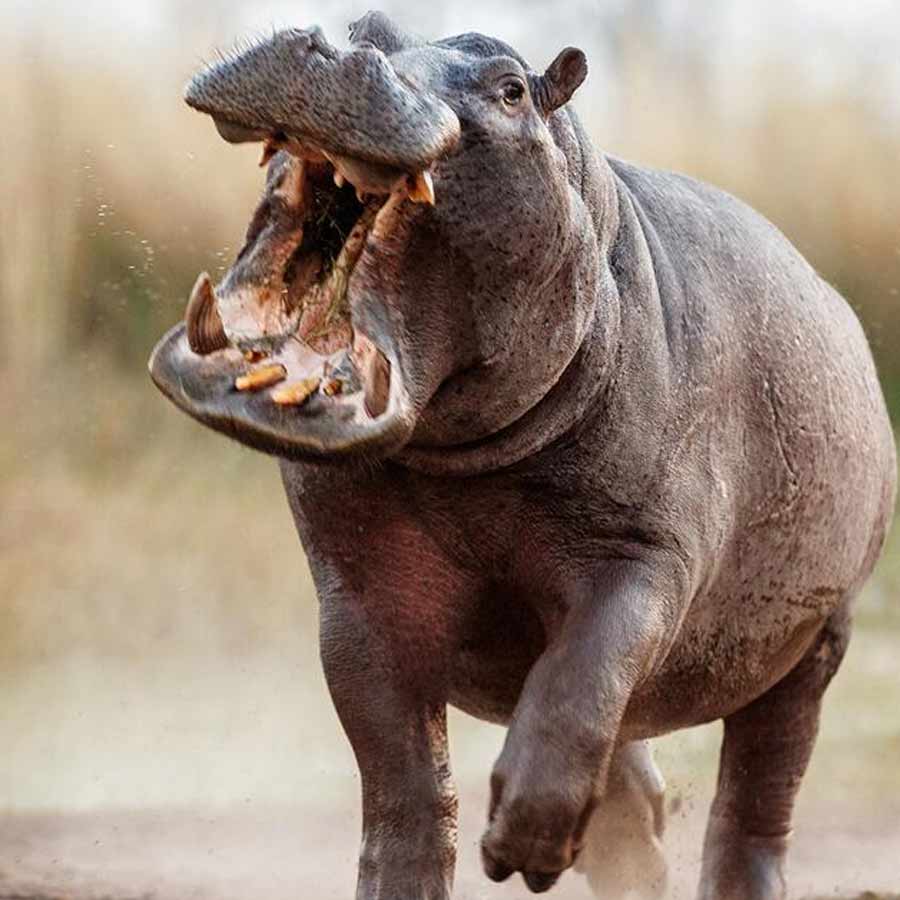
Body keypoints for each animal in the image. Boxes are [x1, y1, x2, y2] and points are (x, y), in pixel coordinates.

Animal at [148, 12, 897, 899]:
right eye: (368, 25)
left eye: (510, 87)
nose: (330, 49)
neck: (461, 459)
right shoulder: (358, 595)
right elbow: (403, 782)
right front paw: (428, 871)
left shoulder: (644, 555)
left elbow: (583, 675)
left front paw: (525, 848)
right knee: (631, 782)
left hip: (818, 641)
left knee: (756, 793)